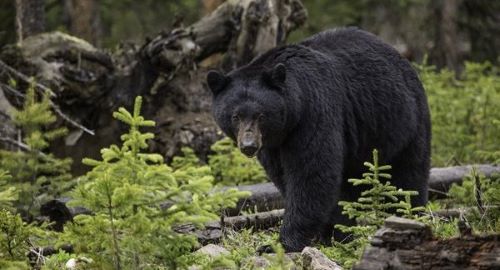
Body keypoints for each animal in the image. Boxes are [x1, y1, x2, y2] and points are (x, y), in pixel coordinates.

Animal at [206, 27, 430, 251]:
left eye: (261, 115)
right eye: (235, 116)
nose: (249, 146)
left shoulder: (314, 112)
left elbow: (311, 174)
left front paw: (283, 243)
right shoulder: (273, 145)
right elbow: (284, 176)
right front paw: (332, 233)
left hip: (404, 122)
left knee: (409, 176)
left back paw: (408, 215)